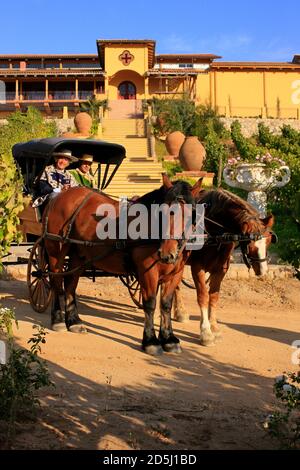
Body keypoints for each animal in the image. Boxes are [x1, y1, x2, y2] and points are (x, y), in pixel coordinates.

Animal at [43, 176, 199, 356]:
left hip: (78, 254)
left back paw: (74, 321)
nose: (168, 253)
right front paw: (150, 341)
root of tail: (59, 196)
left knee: (70, 283)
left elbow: (165, 304)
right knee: (56, 282)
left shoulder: (175, 274)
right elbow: (150, 304)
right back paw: (58, 319)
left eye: (190, 215)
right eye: (163, 212)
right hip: (56, 251)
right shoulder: (148, 272)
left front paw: (169, 338)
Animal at [173, 189, 276, 346]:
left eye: (269, 241)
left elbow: (214, 296)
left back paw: (179, 311)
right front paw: (206, 332)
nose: (263, 271)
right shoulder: (197, 267)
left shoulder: (221, 269)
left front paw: (214, 327)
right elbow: (203, 296)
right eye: (249, 243)